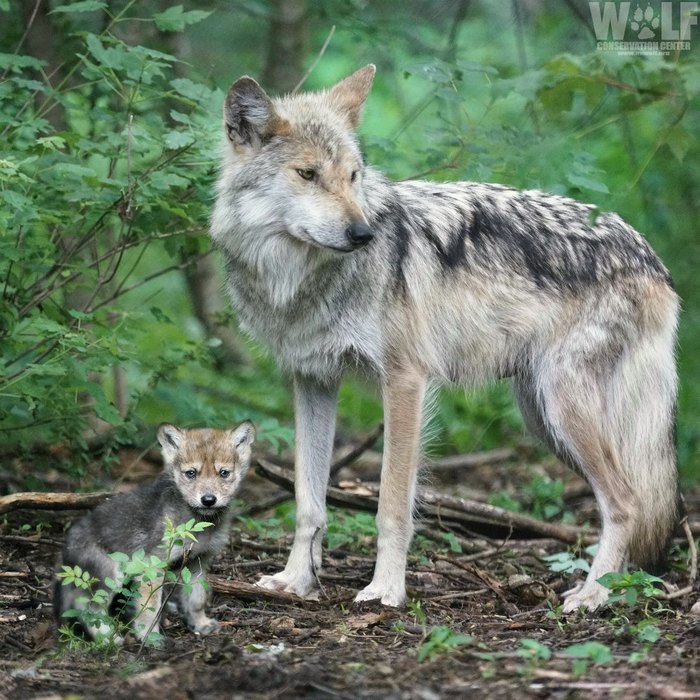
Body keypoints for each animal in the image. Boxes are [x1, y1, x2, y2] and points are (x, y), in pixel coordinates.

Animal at [212, 65, 680, 612]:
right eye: (307, 174)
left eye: (353, 176)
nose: (364, 234)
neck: (297, 280)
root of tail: (650, 255)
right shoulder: (313, 382)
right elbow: (308, 502)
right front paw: (295, 581)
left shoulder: (405, 382)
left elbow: (392, 507)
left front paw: (386, 591)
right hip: (543, 417)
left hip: (565, 410)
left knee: (628, 503)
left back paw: (593, 596)